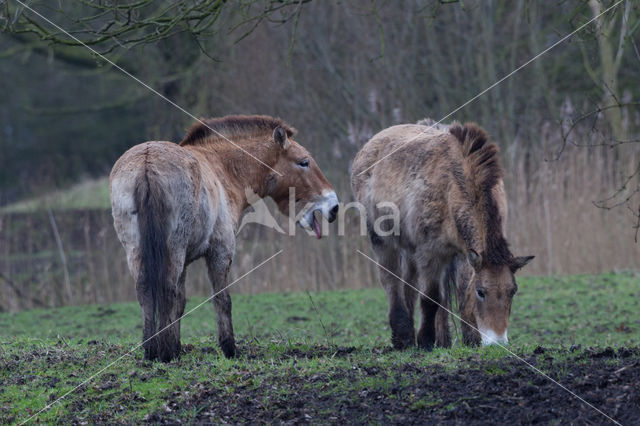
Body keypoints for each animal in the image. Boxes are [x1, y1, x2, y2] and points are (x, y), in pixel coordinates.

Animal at [110, 115, 340, 362]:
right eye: (303, 162)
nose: (334, 206)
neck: (224, 169)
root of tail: (147, 163)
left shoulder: (187, 262)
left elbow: (180, 303)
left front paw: (176, 347)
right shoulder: (220, 252)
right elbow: (222, 299)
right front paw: (229, 349)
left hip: (137, 250)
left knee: (145, 291)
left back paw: (151, 351)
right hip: (174, 250)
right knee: (166, 290)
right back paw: (162, 354)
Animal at [352, 120, 532, 350]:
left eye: (513, 291)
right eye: (481, 292)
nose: (497, 341)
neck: (453, 188)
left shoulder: (463, 254)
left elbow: (461, 291)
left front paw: (470, 339)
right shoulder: (430, 253)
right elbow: (431, 298)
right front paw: (426, 340)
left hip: (411, 249)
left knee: (409, 284)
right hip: (383, 241)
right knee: (391, 280)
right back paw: (403, 336)